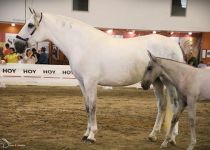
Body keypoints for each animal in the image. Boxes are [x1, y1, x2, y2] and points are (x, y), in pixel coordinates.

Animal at [15, 10, 185, 143]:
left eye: (30, 25)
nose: (17, 45)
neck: (82, 44)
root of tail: (175, 45)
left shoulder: (91, 82)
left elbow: (93, 107)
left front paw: (92, 135)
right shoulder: (82, 83)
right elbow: (87, 107)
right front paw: (85, 134)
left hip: (169, 83)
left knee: (175, 104)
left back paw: (171, 138)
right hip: (157, 81)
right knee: (162, 106)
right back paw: (153, 135)